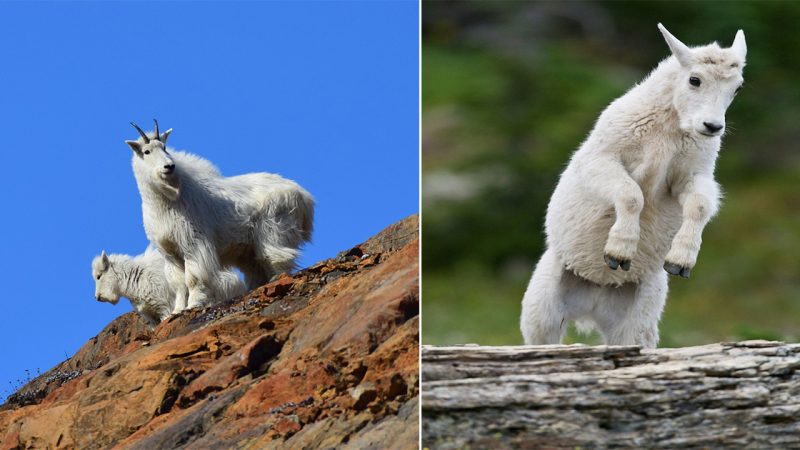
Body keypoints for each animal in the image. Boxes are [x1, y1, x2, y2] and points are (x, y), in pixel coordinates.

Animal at [126, 121, 314, 314]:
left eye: (164, 147)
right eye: (146, 151)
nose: (169, 167)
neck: (165, 201)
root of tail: (304, 196)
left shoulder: (193, 243)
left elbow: (193, 278)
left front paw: (193, 304)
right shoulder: (170, 252)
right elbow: (178, 284)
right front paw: (177, 310)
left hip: (275, 228)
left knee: (277, 256)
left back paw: (277, 279)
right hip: (248, 249)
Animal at [520, 23, 748, 348]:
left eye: (737, 87)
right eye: (695, 79)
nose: (712, 127)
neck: (671, 127)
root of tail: (592, 303)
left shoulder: (692, 175)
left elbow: (700, 205)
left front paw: (680, 262)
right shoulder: (603, 159)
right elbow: (631, 195)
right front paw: (618, 252)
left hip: (640, 314)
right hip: (544, 301)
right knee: (542, 335)